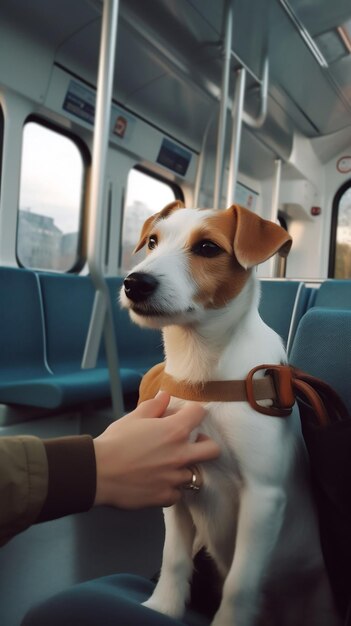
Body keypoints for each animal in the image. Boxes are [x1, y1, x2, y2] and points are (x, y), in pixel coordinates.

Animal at [121, 201, 340, 624]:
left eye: (207, 247)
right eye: (153, 241)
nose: (134, 283)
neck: (203, 374)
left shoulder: (263, 497)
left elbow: (240, 585)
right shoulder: (175, 481)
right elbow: (174, 558)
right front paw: (163, 608)